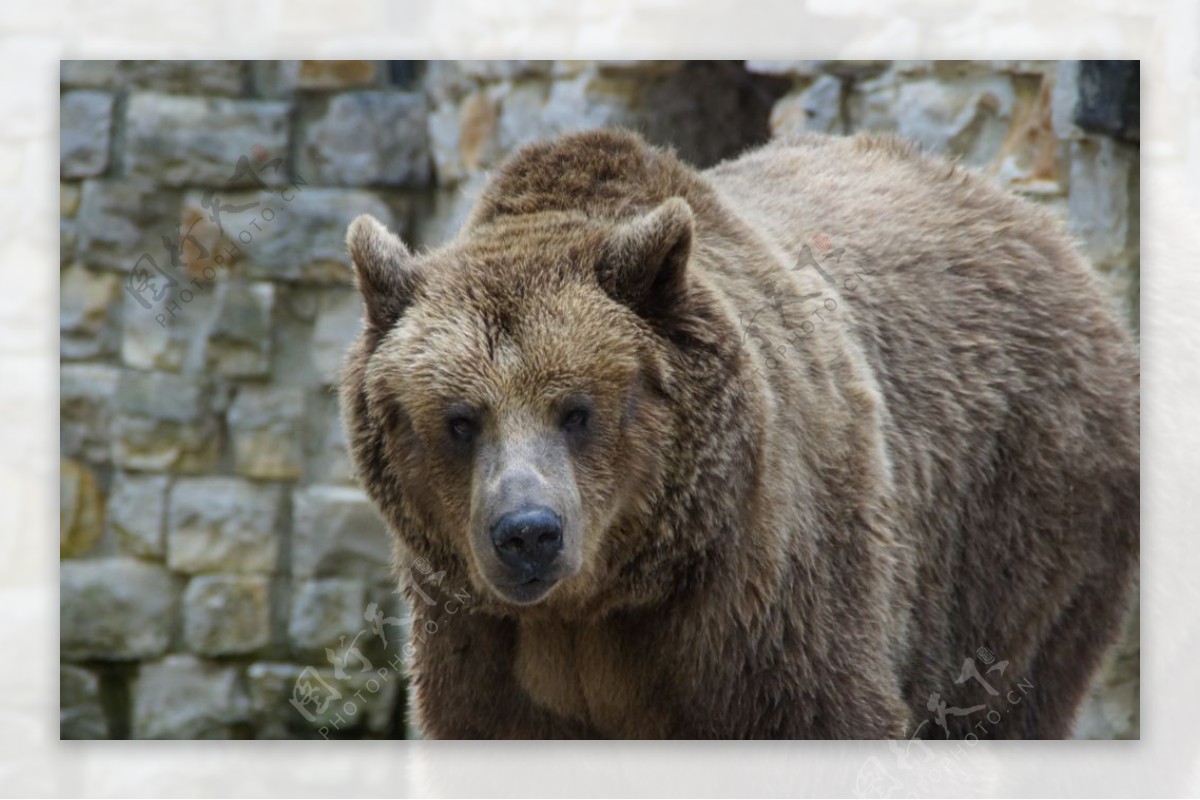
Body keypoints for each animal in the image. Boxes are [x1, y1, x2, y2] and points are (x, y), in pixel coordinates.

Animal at [340, 130, 1142, 738]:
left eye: (577, 410)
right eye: (459, 419)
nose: (528, 533)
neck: (602, 603)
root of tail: (1048, 233)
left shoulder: (764, 608)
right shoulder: (482, 645)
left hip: (1022, 519)